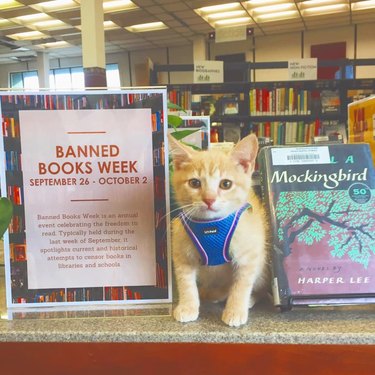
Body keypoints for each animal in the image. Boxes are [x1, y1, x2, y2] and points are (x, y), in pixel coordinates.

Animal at [169, 134, 268, 328]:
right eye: (194, 183)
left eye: (226, 184)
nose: (209, 199)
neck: (211, 226)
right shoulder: (181, 252)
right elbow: (185, 281)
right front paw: (187, 306)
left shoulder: (249, 253)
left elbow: (242, 283)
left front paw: (235, 310)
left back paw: (248, 298)